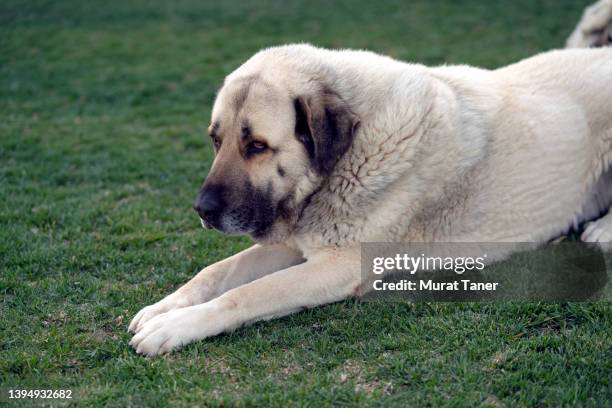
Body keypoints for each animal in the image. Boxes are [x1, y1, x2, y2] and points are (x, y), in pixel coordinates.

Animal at [126, 1, 608, 356]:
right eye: (215, 140)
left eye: (257, 146)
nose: (202, 210)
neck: (349, 154)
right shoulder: (294, 243)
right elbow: (216, 272)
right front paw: (164, 307)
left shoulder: (338, 265)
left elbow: (247, 294)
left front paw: (176, 325)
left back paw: (601, 229)